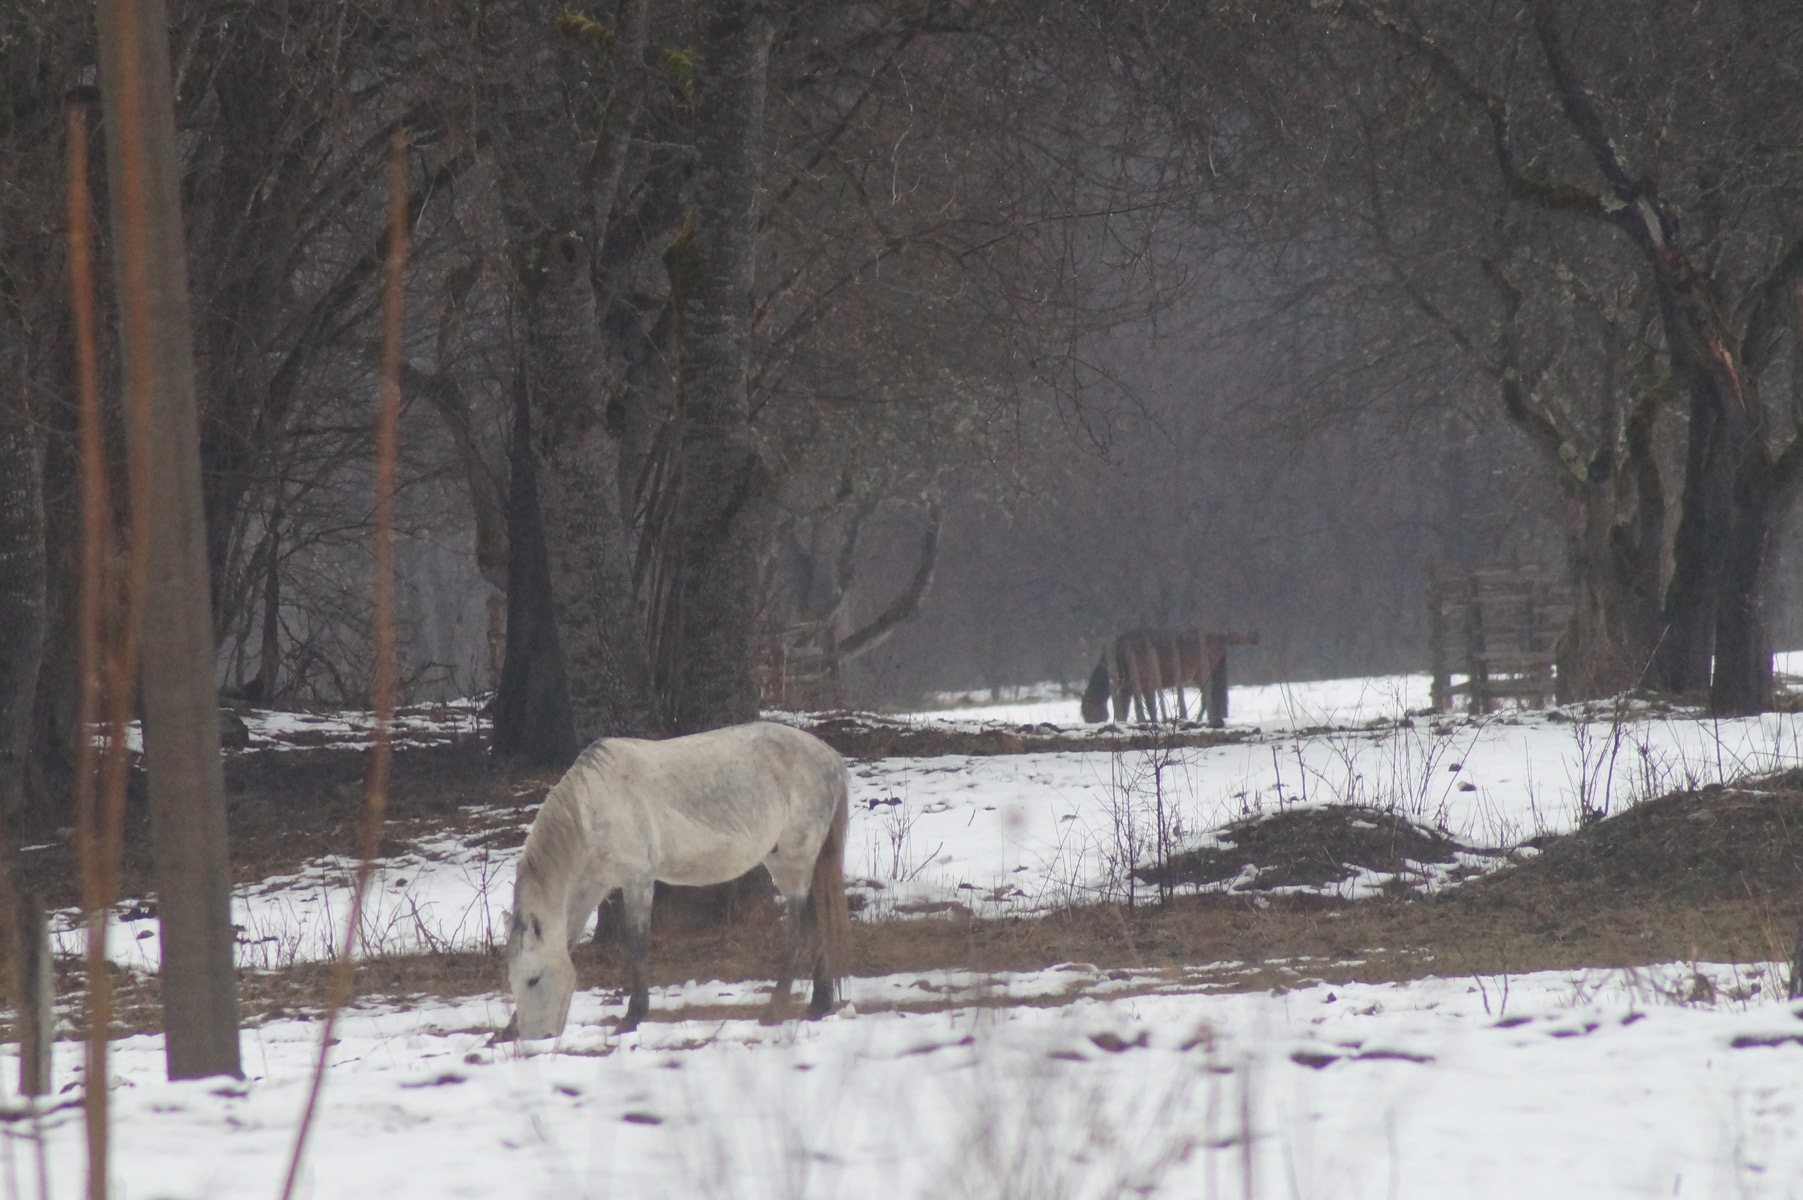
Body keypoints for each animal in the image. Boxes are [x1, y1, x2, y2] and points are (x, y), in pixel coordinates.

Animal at [497, 720, 854, 1037]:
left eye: (533, 979)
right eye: (514, 981)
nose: (535, 1038)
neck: (592, 808)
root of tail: (830, 757)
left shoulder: (637, 880)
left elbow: (638, 944)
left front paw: (633, 1017)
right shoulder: (591, 888)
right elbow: (568, 939)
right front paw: (505, 1031)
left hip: (793, 860)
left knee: (798, 927)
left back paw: (774, 1010)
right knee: (817, 918)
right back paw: (819, 1005)